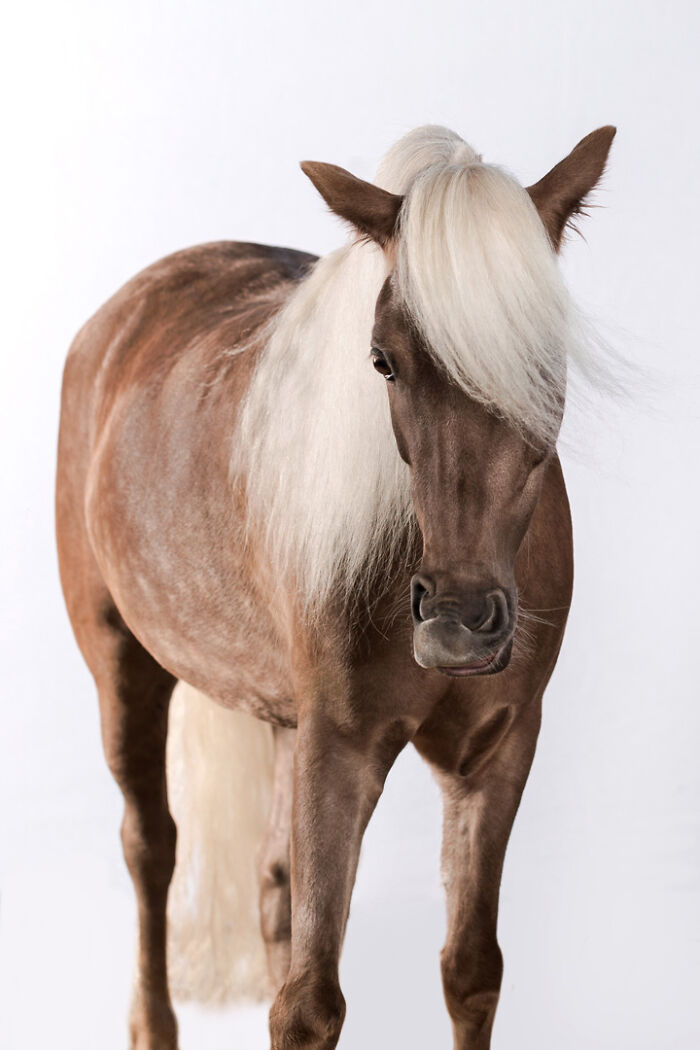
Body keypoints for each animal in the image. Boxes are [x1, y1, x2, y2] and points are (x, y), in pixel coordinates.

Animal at [56, 123, 616, 1050]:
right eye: (383, 360)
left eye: (545, 354)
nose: (459, 620)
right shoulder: (341, 748)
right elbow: (310, 1004)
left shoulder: (498, 749)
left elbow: (471, 970)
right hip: (122, 663)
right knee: (152, 848)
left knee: (273, 884)